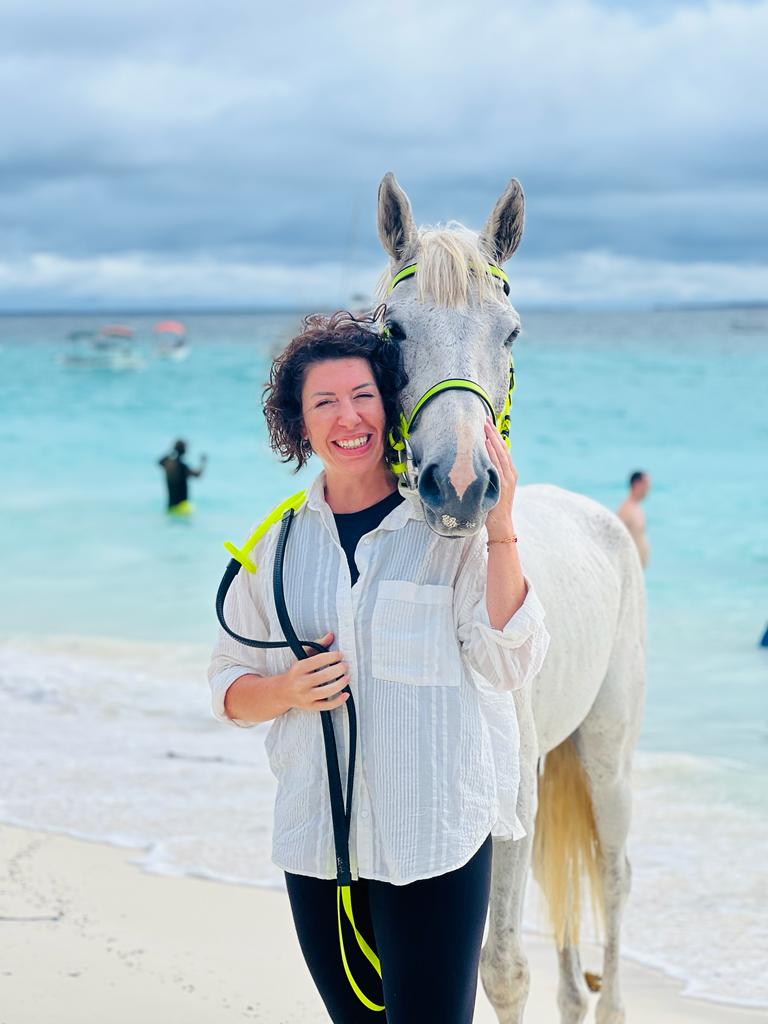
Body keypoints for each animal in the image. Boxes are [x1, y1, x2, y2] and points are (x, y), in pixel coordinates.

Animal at [375, 173, 646, 1024]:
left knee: (615, 878)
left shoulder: (511, 809)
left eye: (512, 333)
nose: (461, 486)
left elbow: (500, 971)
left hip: (606, 759)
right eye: (393, 332)